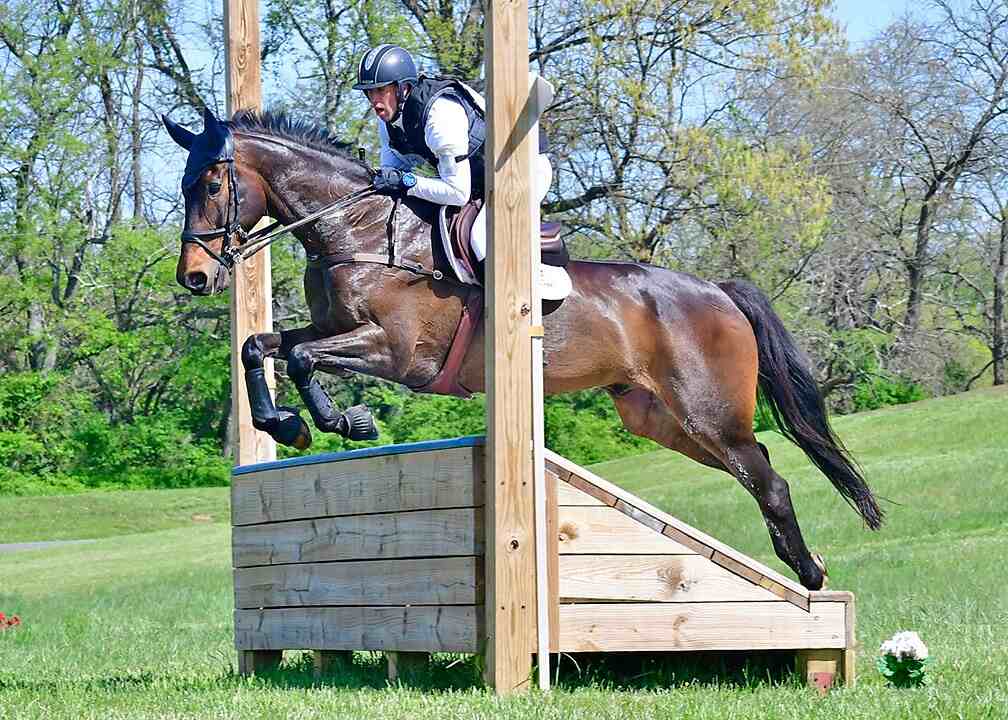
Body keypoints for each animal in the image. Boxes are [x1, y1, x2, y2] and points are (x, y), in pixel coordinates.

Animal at [163, 106, 883, 588]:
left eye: (212, 186)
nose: (194, 277)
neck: (357, 229)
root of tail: (718, 290)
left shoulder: (397, 353)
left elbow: (303, 358)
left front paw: (344, 420)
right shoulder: (333, 328)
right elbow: (261, 346)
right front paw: (286, 424)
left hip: (710, 415)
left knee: (770, 478)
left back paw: (810, 576)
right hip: (661, 419)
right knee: (759, 467)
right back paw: (806, 565)